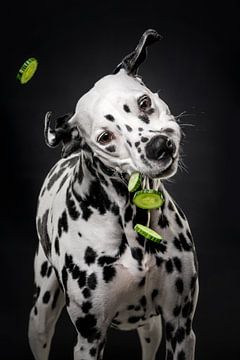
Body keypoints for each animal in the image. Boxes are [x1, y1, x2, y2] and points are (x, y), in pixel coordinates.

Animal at [29, 30, 199, 360]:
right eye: (106, 137)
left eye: (144, 102)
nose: (159, 147)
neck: (132, 219)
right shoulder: (89, 338)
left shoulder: (181, 328)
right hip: (41, 314)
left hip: (151, 328)